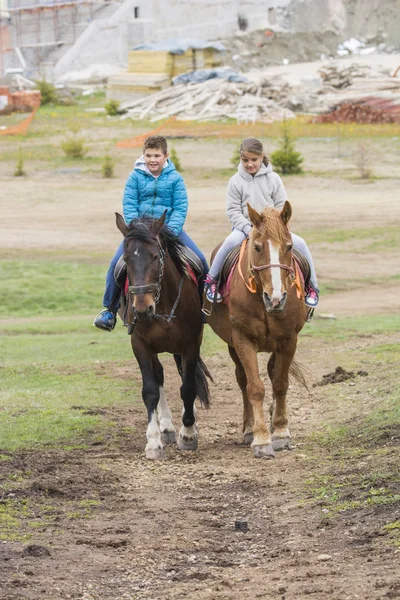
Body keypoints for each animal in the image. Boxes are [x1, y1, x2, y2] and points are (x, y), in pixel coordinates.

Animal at [115, 213, 211, 462]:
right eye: (126, 259)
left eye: (156, 256)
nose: (142, 308)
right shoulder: (140, 345)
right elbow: (150, 390)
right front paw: (154, 442)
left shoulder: (191, 344)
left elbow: (188, 388)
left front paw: (188, 434)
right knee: (159, 376)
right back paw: (166, 427)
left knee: (183, 376)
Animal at [208, 202, 308, 460]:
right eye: (257, 246)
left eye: (289, 246)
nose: (276, 298)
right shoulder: (242, 339)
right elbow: (254, 388)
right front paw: (261, 439)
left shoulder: (289, 340)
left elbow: (280, 383)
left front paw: (281, 431)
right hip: (232, 345)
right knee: (243, 381)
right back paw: (248, 429)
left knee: (273, 372)